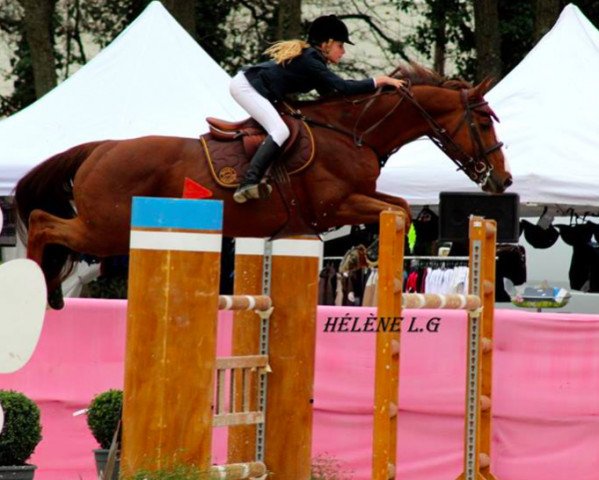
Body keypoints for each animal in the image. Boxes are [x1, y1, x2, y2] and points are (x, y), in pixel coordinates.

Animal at [12, 64, 510, 308]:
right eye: (485, 122)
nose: (502, 179)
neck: (352, 133)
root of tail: (101, 149)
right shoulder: (335, 206)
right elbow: (399, 210)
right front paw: (364, 255)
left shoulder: (357, 198)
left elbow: (400, 204)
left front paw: (362, 254)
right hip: (107, 228)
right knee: (41, 222)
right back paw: (38, 286)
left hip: (107, 227)